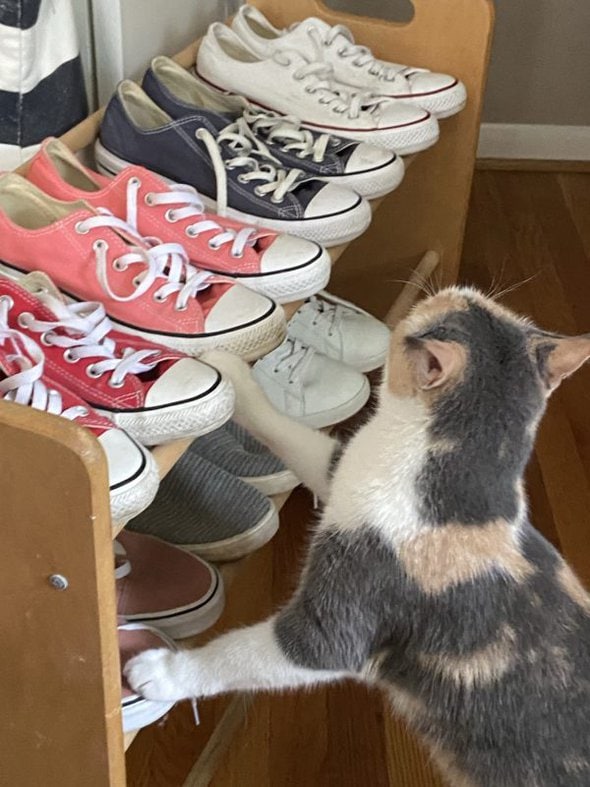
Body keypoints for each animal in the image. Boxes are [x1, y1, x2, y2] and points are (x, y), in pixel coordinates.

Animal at [125, 290, 590, 787]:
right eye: (474, 299)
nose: (451, 289)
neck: (463, 490)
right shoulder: (343, 471)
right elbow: (296, 438)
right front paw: (234, 374)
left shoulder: (340, 618)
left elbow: (244, 654)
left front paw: (163, 673)